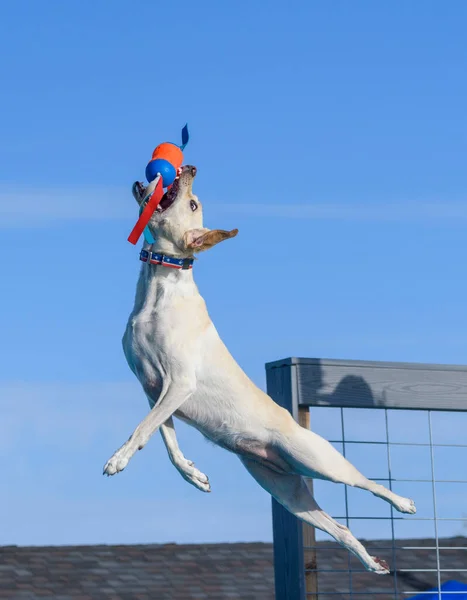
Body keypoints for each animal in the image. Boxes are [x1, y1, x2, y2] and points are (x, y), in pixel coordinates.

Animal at [103, 163, 416, 572]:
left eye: (192, 202)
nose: (190, 168)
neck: (161, 288)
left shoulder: (179, 384)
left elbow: (142, 430)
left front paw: (117, 460)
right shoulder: (154, 389)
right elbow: (167, 443)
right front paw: (194, 475)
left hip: (321, 463)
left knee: (367, 484)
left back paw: (403, 503)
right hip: (286, 492)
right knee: (341, 528)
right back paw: (370, 562)